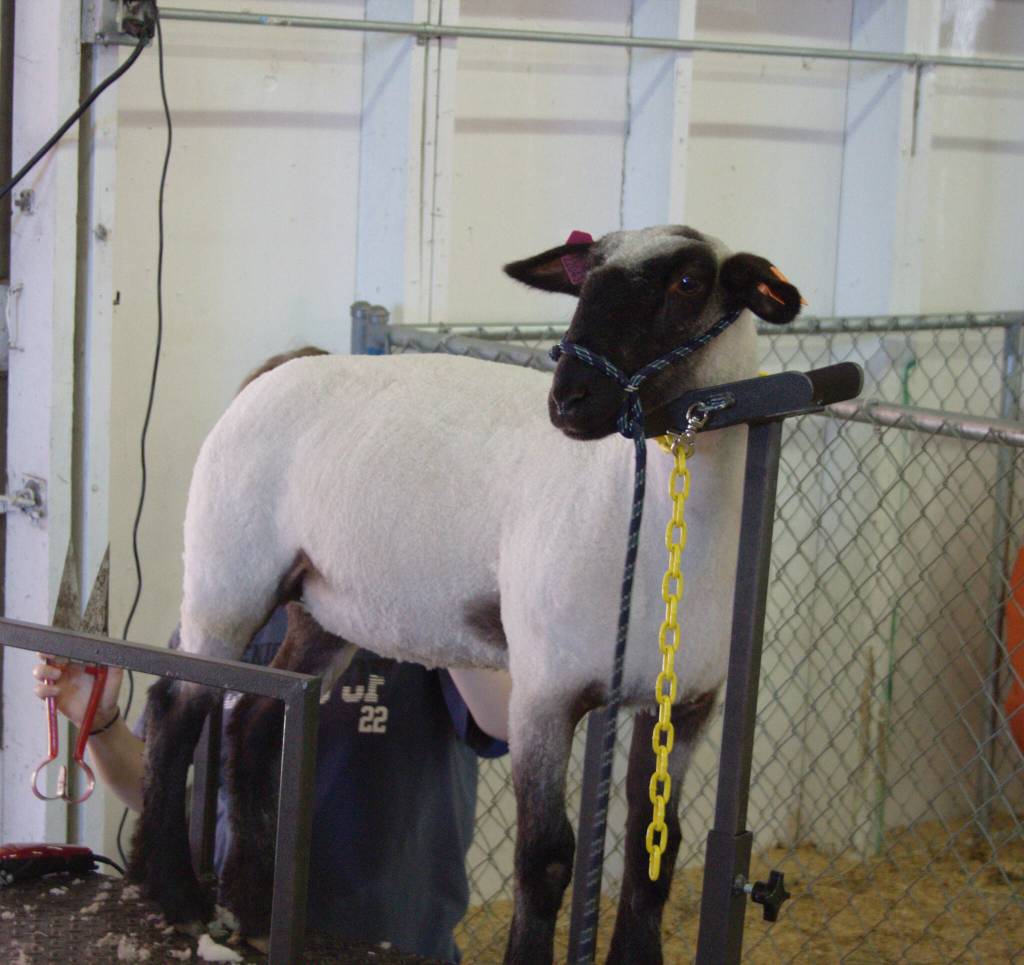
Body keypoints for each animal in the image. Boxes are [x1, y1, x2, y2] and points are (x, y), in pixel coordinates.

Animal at [126, 225, 802, 965]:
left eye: (687, 283)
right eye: (586, 278)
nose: (569, 398)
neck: (657, 521)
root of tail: (271, 377)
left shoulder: (686, 705)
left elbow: (658, 848)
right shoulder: (544, 691)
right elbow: (546, 858)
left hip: (323, 607)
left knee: (254, 715)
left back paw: (250, 906)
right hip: (226, 575)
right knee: (176, 706)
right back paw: (176, 893)